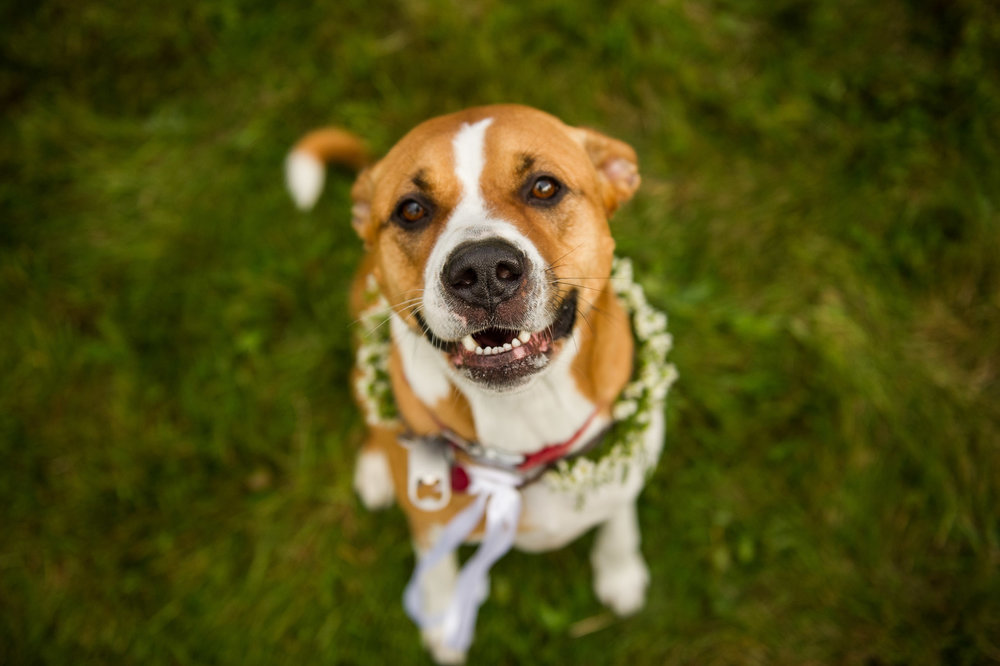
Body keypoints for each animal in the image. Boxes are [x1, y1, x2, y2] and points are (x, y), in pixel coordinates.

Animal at [290, 104, 680, 660]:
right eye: (412, 209)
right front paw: (445, 622)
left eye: (544, 187)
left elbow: (619, 515)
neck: (525, 413)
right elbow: (436, 573)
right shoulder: (431, 523)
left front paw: (620, 571)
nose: (483, 270)